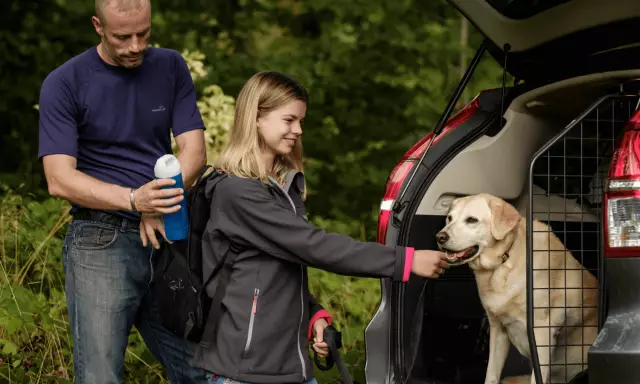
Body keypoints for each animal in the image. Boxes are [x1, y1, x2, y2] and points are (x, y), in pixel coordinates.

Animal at [436, 194, 600, 384]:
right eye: (450, 218)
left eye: (471, 220)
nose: (440, 237)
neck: (504, 260)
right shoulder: (498, 330)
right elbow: (491, 374)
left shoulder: (542, 333)